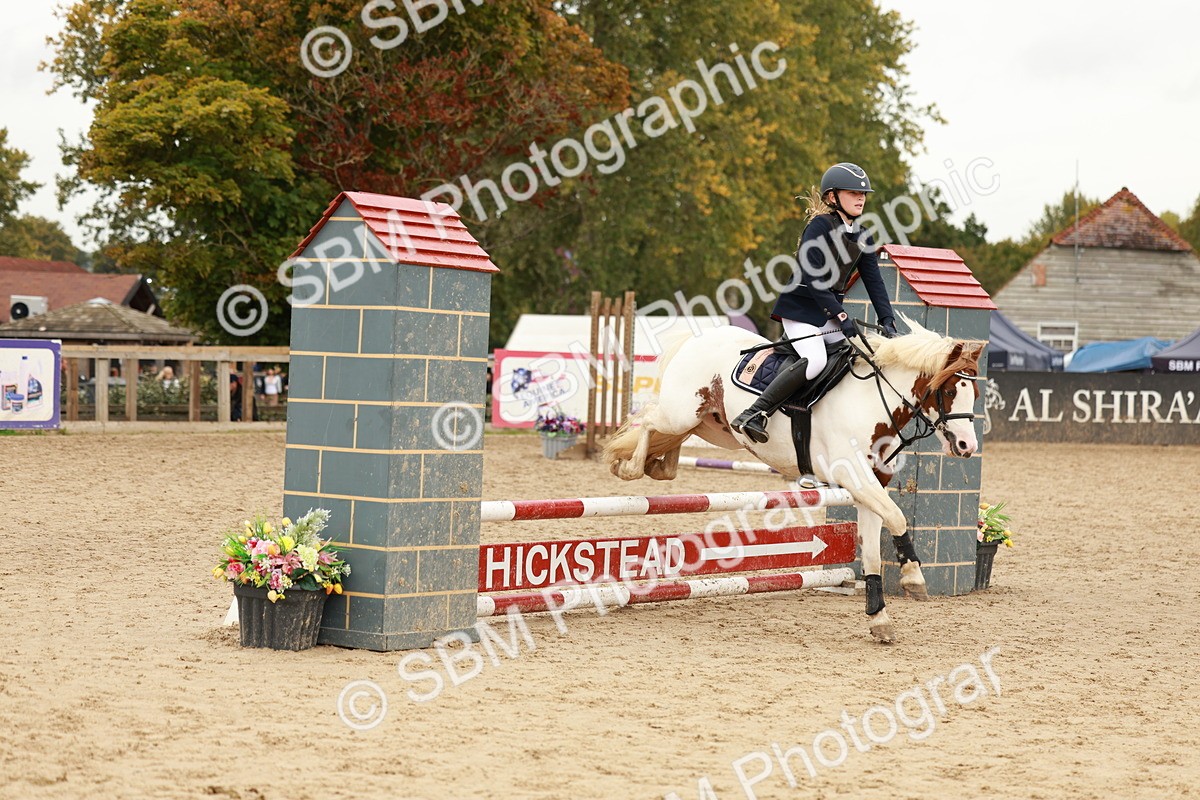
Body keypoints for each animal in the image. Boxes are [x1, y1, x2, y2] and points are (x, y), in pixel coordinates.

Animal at [603, 315, 984, 642]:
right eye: (951, 391)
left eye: (976, 394)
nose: (967, 447)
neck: (873, 400)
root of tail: (699, 337)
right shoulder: (854, 477)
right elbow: (898, 517)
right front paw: (914, 578)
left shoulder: (872, 484)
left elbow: (876, 548)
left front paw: (880, 620)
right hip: (682, 413)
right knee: (648, 420)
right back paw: (629, 467)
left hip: (712, 427)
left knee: (669, 441)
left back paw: (656, 465)